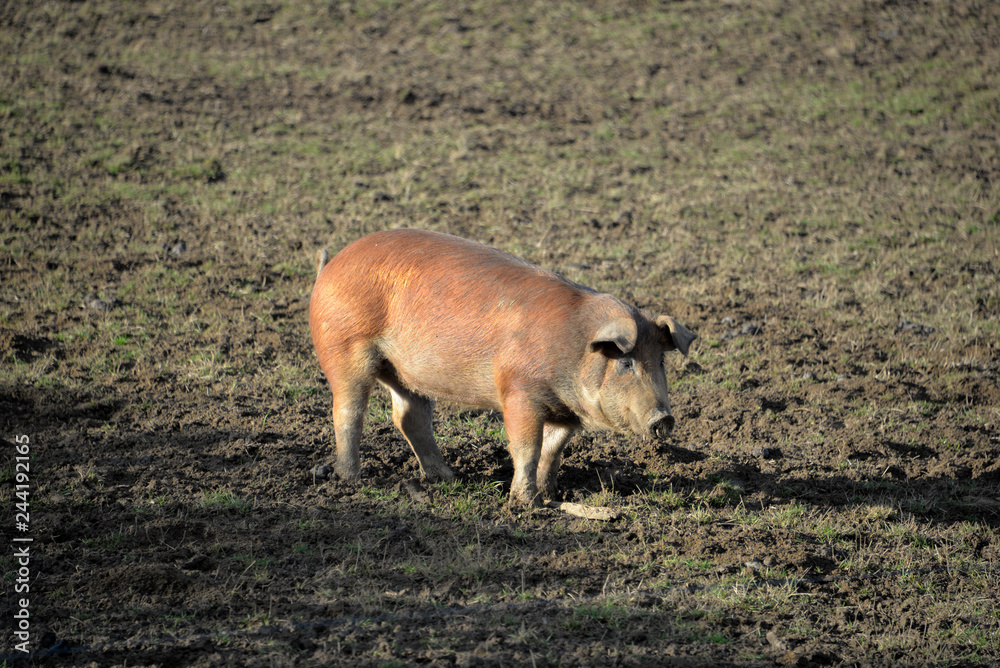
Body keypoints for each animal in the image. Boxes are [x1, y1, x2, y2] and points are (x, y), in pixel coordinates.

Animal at [309, 229, 696, 506]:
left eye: (661, 361)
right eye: (626, 362)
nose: (664, 418)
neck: (573, 348)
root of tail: (330, 266)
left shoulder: (566, 413)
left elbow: (553, 450)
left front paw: (550, 495)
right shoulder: (519, 391)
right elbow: (526, 447)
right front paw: (526, 504)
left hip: (404, 372)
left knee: (408, 416)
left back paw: (448, 478)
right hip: (345, 350)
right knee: (347, 412)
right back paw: (349, 479)